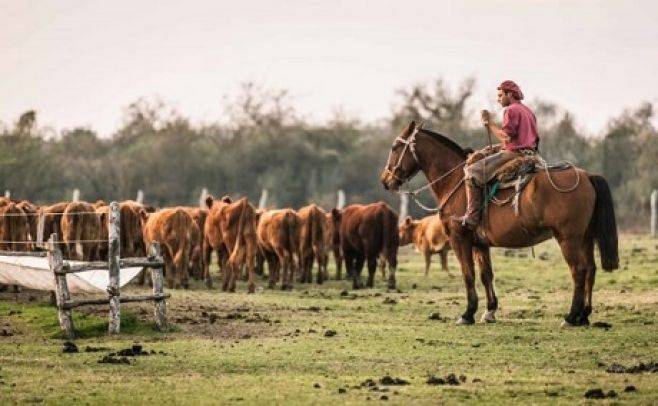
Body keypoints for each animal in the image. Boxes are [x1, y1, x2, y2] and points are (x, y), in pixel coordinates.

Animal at [380, 120, 616, 326]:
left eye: (394, 147)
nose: (385, 180)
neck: (455, 182)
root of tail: (587, 176)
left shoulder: (460, 240)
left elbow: (468, 275)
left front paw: (468, 313)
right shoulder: (480, 244)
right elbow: (486, 275)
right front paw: (490, 311)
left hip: (568, 238)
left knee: (579, 270)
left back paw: (571, 316)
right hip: (585, 238)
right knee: (591, 269)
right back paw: (584, 315)